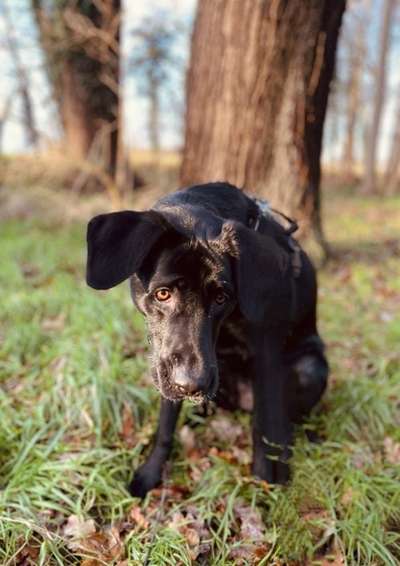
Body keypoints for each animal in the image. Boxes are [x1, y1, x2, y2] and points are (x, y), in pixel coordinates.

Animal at [85, 184, 328, 500]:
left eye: (222, 298)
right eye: (163, 294)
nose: (192, 385)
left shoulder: (267, 355)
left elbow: (266, 424)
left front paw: (267, 478)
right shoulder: (166, 367)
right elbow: (165, 426)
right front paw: (152, 472)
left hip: (311, 366)